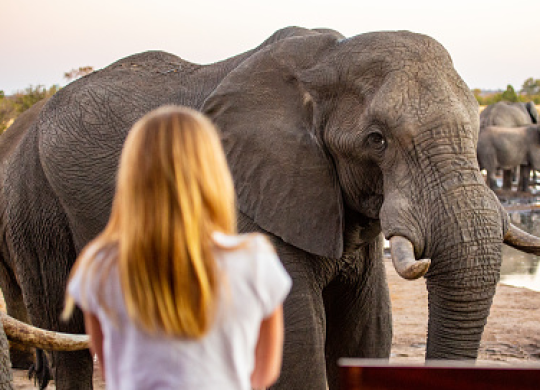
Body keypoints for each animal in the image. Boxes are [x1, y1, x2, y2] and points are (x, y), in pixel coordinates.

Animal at [3, 25, 540, 390]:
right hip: (36, 203)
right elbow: (297, 349)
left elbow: (364, 336)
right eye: (377, 139)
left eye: (474, 127)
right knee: (66, 330)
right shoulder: (250, 199)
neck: (326, 61)